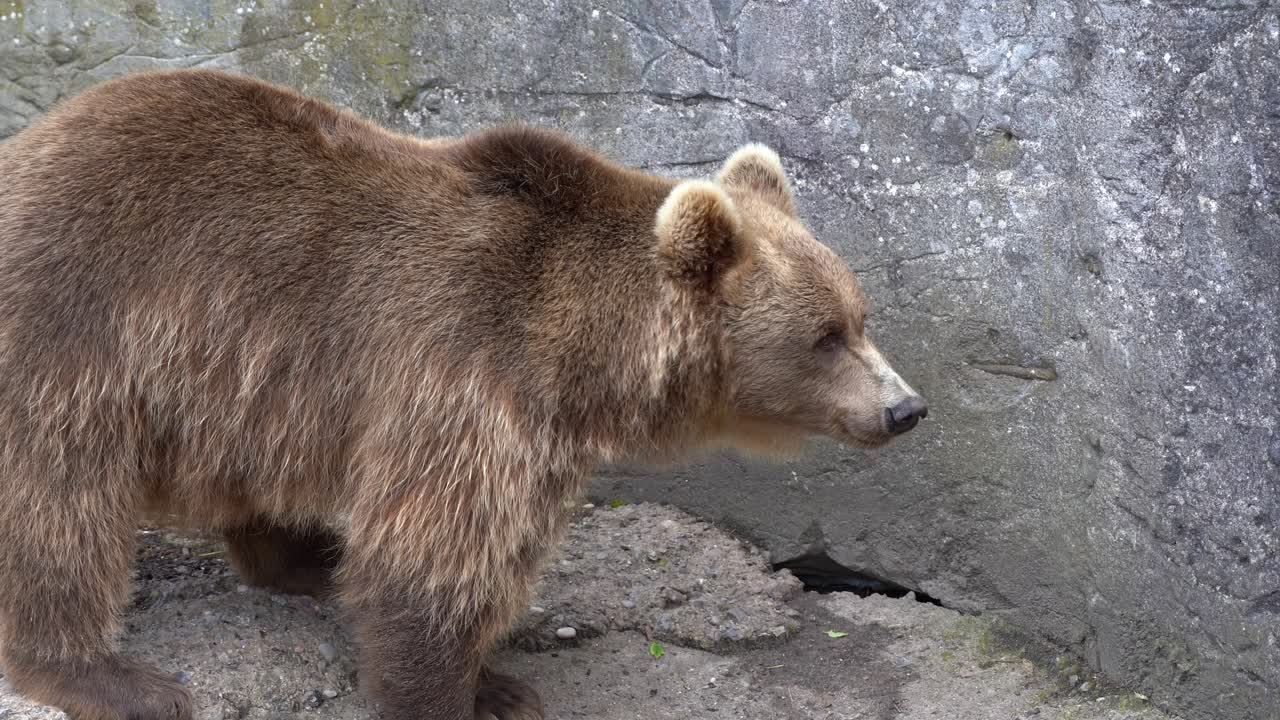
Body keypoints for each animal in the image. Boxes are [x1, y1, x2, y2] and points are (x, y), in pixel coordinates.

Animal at [0, 69, 927, 720]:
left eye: (860, 316)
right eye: (824, 335)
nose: (905, 408)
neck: (581, 352)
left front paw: (497, 683)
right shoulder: (465, 377)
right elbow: (436, 551)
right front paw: (461, 691)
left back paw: (305, 558)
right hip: (76, 322)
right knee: (56, 501)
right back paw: (110, 675)